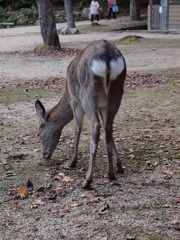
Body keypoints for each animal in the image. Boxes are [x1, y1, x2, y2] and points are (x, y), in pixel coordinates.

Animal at [35, 39, 126, 189]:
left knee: (95, 126)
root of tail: (107, 58)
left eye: (39, 133)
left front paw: (72, 162)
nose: (45, 155)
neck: (66, 92)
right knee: (108, 127)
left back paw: (87, 180)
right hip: (117, 92)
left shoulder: (75, 101)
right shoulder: (102, 106)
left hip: (87, 95)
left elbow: (77, 128)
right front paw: (120, 166)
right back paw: (111, 173)